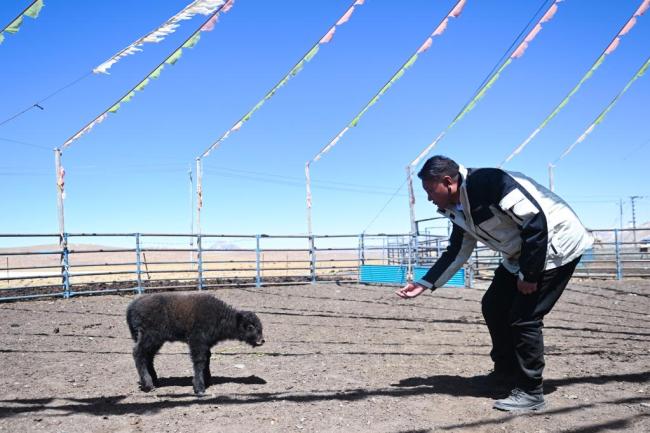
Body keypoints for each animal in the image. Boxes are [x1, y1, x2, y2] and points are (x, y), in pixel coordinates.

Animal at [125, 292, 262, 394]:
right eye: (250, 326)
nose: (261, 340)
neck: (219, 316)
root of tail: (132, 306)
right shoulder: (197, 342)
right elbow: (199, 361)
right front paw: (199, 388)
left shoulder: (206, 345)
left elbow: (207, 360)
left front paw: (207, 381)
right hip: (150, 337)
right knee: (138, 354)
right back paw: (148, 385)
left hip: (154, 341)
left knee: (148, 357)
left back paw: (155, 381)